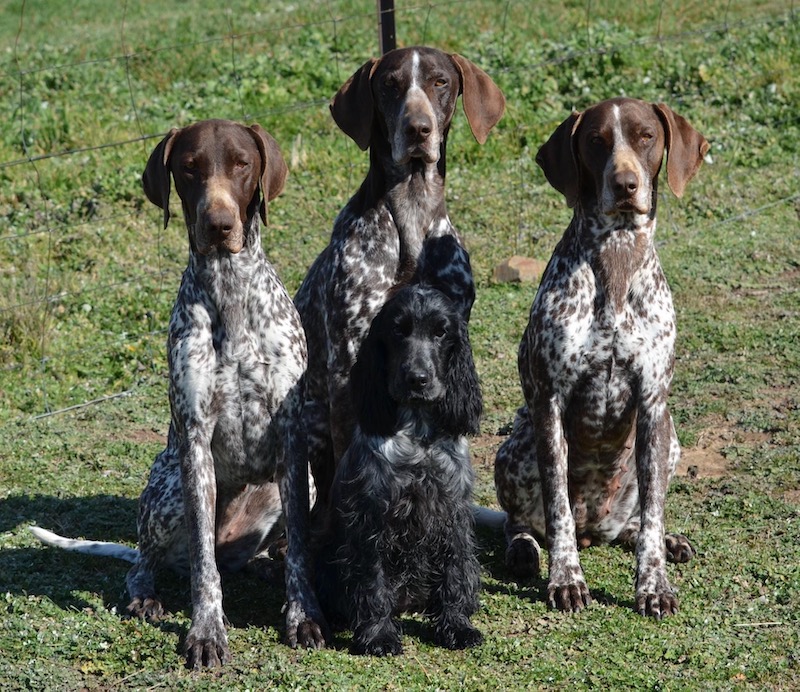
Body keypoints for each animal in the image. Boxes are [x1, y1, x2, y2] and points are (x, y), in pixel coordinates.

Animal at [494, 97, 708, 616]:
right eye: (596, 141)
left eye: (646, 136)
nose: (626, 184)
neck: (617, 256)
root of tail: (597, 527)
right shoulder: (550, 405)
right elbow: (558, 511)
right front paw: (565, 580)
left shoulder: (653, 406)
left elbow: (652, 516)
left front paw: (653, 585)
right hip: (516, 445)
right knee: (523, 523)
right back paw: (525, 551)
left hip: (671, 439)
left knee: (638, 521)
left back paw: (665, 540)